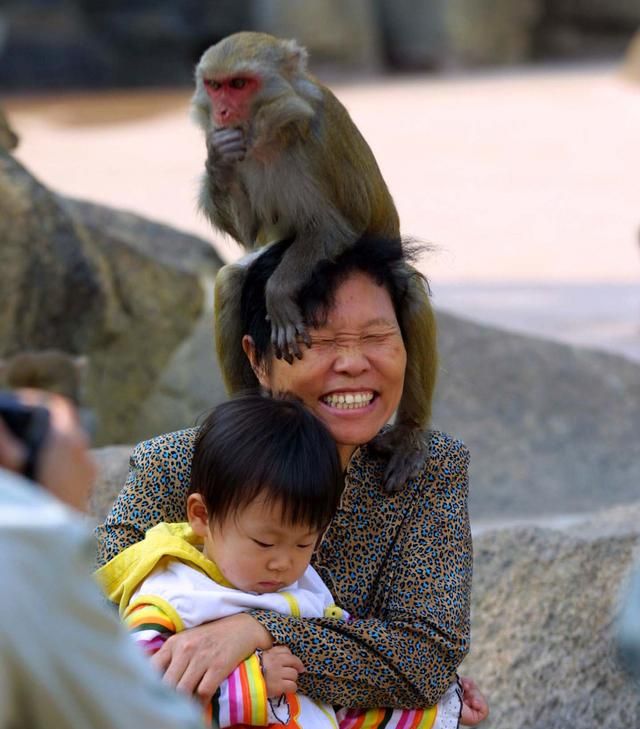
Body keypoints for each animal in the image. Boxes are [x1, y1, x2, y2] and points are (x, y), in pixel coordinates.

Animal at [192, 32, 438, 490]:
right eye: (214, 86)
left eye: (239, 85)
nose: (221, 112)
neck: (271, 138)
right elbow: (248, 230)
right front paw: (217, 155)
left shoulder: (318, 147)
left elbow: (333, 228)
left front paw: (278, 294)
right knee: (230, 281)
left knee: (410, 288)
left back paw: (410, 433)